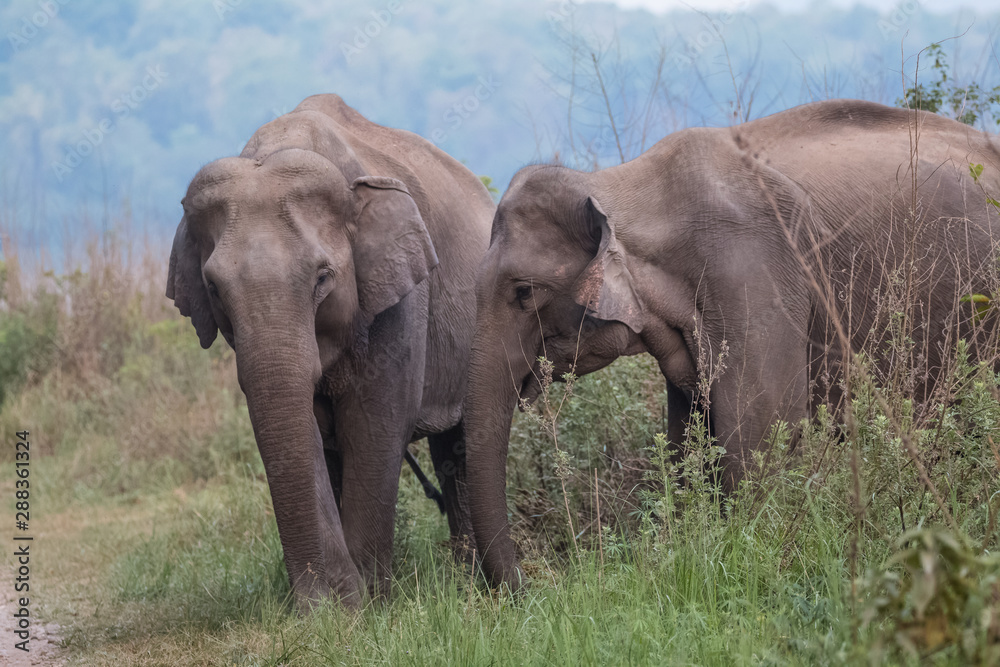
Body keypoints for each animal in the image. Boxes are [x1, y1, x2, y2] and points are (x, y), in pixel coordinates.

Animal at [169, 94, 496, 612]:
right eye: (214, 288)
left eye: (323, 278)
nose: (322, 598)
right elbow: (313, 433)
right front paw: (338, 608)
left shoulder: (402, 300)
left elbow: (374, 425)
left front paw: (369, 606)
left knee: (458, 443)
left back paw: (466, 582)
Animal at [466, 99, 1000, 588]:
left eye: (523, 292)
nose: (536, 583)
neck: (620, 184)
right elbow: (687, 441)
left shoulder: (756, 276)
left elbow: (759, 435)